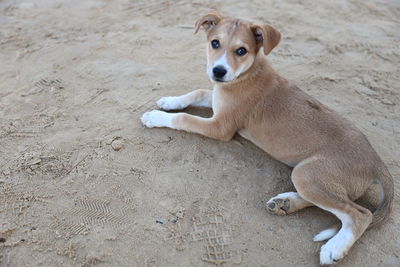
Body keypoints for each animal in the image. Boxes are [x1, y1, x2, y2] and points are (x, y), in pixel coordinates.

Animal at [141, 11, 394, 264]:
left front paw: (155, 116)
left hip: (308, 173)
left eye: (241, 50)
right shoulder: (216, 101)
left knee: (360, 213)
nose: (218, 71)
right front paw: (170, 101)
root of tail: (377, 163)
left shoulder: (220, 126)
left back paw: (335, 247)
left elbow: (184, 118)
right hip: (309, 175)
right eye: (215, 43)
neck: (247, 73)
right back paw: (286, 203)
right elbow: (197, 92)